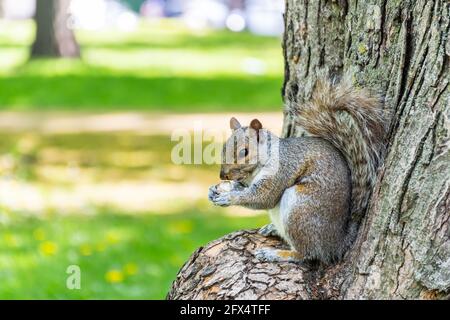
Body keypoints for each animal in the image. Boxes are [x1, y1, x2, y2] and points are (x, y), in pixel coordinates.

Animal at [209, 75, 388, 264]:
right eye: (224, 147)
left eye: (244, 152)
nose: (222, 175)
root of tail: (336, 243)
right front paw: (216, 190)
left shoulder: (281, 170)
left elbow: (263, 198)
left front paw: (229, 197)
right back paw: (272, 229)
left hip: (300, 211)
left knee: (307, 254)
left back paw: (277, 254)